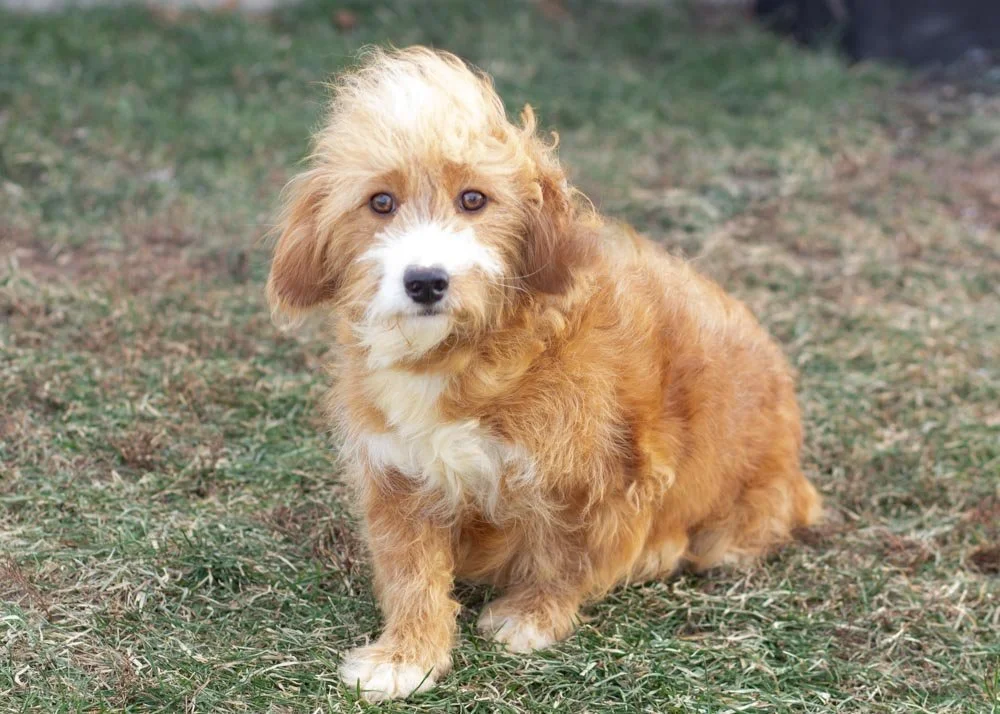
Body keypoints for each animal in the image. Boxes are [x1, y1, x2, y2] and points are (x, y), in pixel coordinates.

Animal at [266, 46, 822, 701]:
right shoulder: (397, 475)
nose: (426, 281)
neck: (462, 357)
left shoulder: (604, 473)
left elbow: (566, 555)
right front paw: (407, 656)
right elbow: (411, 572)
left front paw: (533, 616)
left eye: (473, 199)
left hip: (740, 516)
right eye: (381, 202)